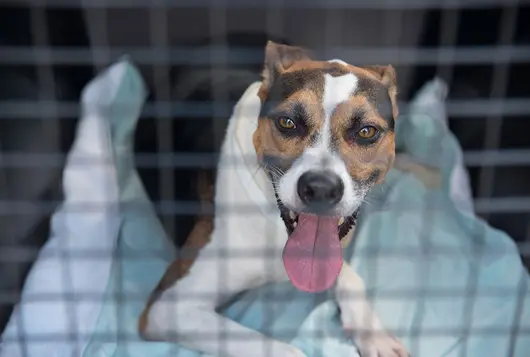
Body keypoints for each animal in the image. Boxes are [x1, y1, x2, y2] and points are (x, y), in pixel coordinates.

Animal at [138, 41, 406, 356]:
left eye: (366, 131)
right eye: (287, 122)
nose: (320, 188)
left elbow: (350, 277)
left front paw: (374, 333)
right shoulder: (168, 308)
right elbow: (286, 350)